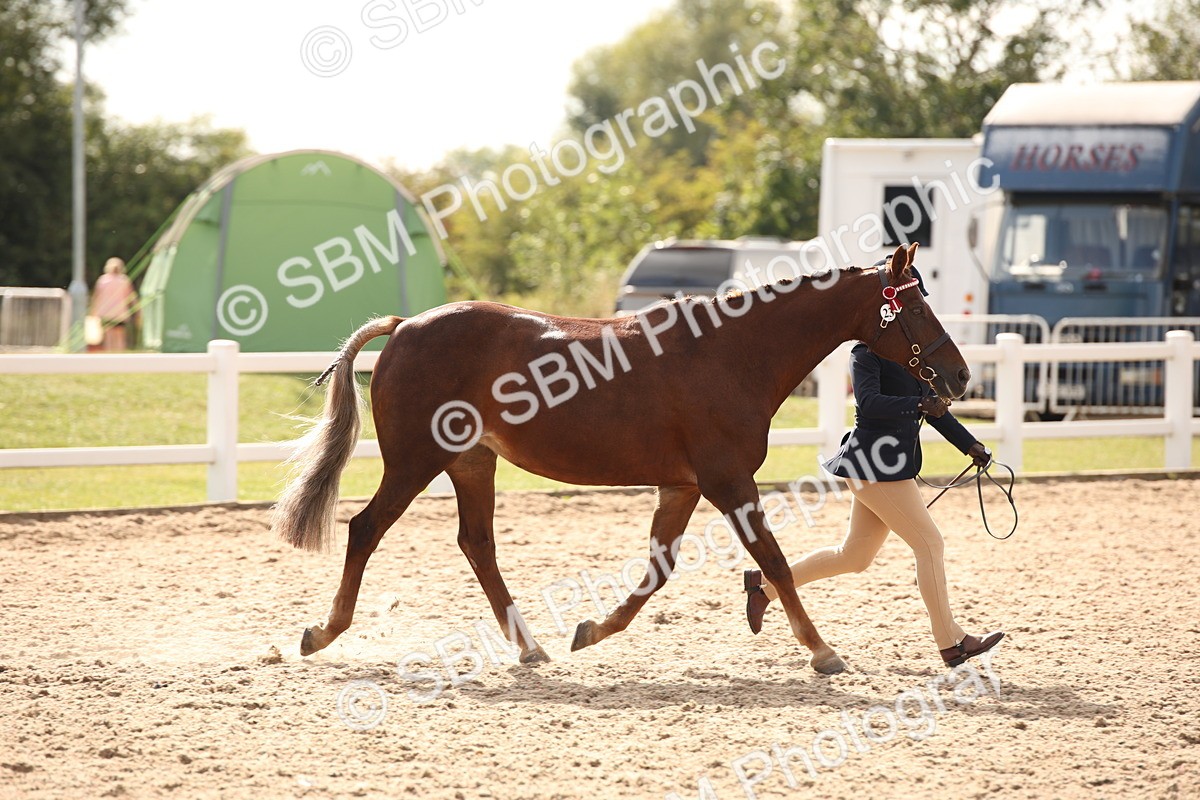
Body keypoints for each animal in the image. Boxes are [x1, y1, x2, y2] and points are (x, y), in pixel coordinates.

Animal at [271, 243, 970, 674]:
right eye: (912, 304)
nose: (959, 375)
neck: (732, 352)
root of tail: (405, 326)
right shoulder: (727, 480)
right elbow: (772, 559)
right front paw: (822, 651)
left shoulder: (684, 487)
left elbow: (659, 570)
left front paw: (591, 631)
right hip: (416, 462)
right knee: (366, 529)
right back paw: (322, 632)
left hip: (470, 463)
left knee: (477, 545)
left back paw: (531, 647)